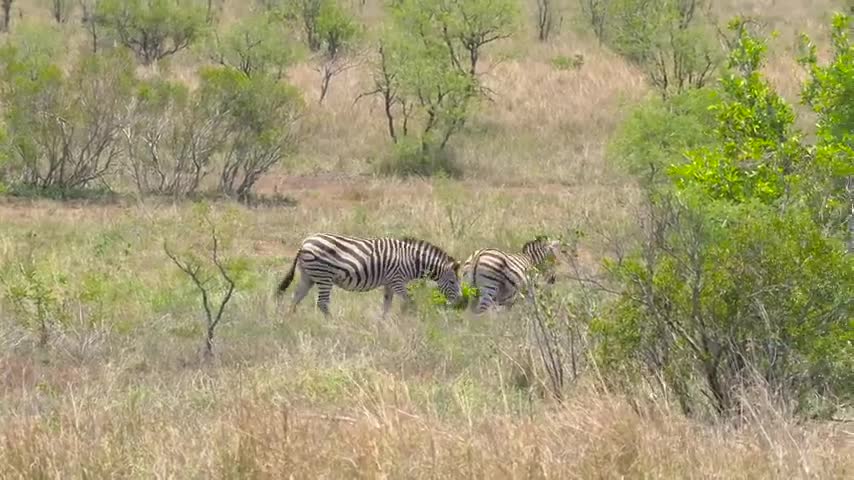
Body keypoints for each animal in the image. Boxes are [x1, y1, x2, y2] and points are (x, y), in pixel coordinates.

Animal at [276, 233, 462, 316]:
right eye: (453, 282)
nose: (460, 303)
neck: (411, 260)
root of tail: (304, 244)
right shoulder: (397, 281)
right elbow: (411, 302)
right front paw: (413, 319)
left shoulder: (389, 283)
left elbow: (387, 305)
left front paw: (383, 324)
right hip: (324, 275)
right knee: (322, 303)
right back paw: (333, 323)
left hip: (308, 275)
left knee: (296, 296)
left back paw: (290, 320)